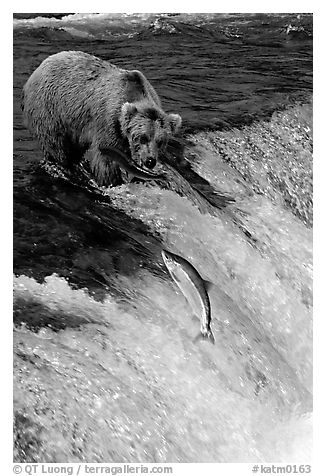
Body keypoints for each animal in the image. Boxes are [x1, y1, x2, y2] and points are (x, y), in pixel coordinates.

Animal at [21, 51, 182, 186]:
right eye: (142, 137)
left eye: (161, 141)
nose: (150, 161)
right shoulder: (107, 122)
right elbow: (106, 160)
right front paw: (112, 181)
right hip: (50, 109)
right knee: (56, 145)